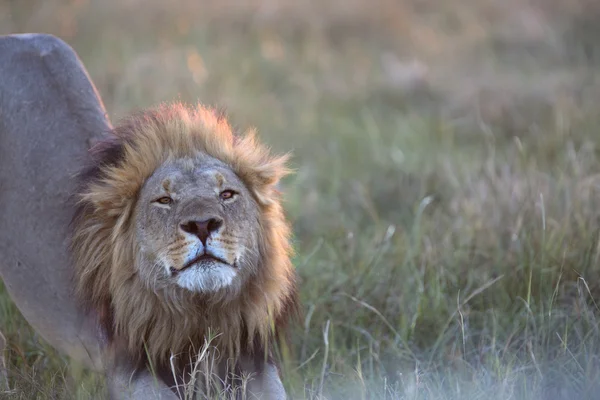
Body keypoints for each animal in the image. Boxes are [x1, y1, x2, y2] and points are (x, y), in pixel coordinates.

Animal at [0, 32, 300, 398]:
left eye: (227, 194)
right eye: (164, 200)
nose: (202, 224)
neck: (202, 312)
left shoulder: (253, 357)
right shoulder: (128, 370)